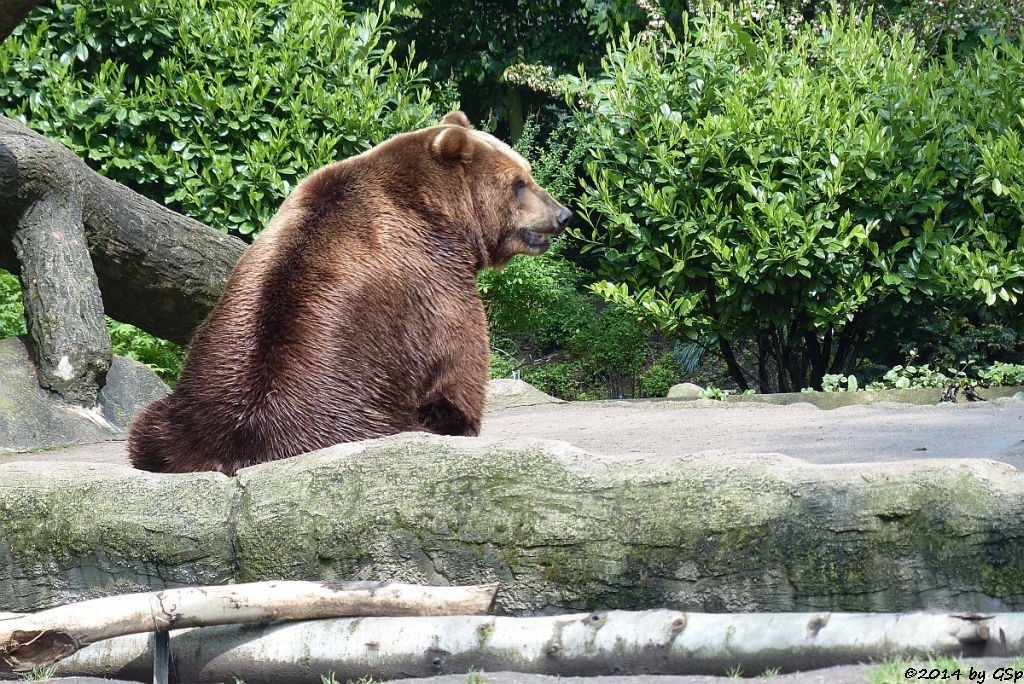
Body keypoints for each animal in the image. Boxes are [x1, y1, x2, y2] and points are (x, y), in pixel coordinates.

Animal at [126, 112, 569, 475]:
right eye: (519, 183)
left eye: (528, 175)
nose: (563, 214)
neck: (441, 212)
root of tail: (236, 449)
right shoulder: (436, 283)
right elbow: (459, 365)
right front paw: (464, 419)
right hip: (360, 414)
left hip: (177, 415)